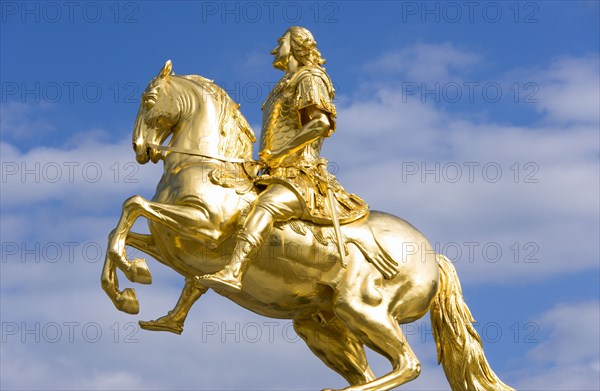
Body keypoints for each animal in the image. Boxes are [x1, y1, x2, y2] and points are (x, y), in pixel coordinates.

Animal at [101, 61, 512, 391]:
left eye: (149, 100)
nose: (140, 148)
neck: (206, 167)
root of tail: (435, 258)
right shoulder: (174, 246)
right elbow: (121, 234)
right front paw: (129, 292)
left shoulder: (206, 228)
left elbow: (133, 205)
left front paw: (135, 276)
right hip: (323, 326)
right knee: (373, 371)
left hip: (362, 308)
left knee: (407, 365)